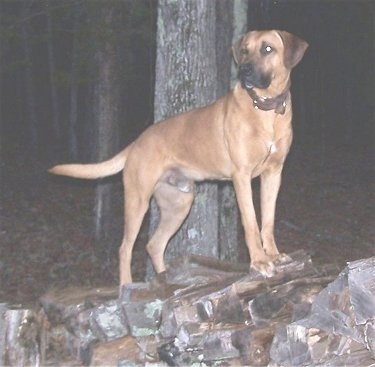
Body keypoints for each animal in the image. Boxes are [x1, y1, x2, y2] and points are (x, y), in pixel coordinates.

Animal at [50, 30, 308, 286]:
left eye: (267, 49)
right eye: (245, 50)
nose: (243, 70)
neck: (266, 110)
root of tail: (136, 142)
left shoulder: (273, 173)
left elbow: (268, 220)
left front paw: (274, 255)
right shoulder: (241, 176)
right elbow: (251, 222)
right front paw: (260, 261)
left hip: (179, 204)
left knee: (154, 245)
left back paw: (166, 280)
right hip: (138, 200)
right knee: (125, 248)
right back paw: (126, 284)